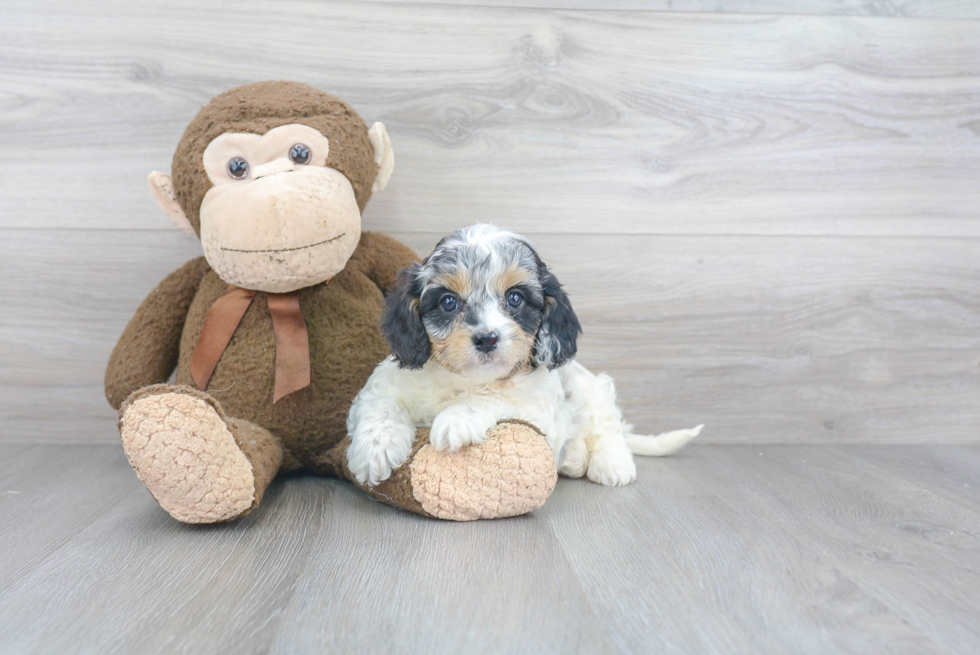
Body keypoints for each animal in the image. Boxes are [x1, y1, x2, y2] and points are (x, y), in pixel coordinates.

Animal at [348, 226, 700, 486]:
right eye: (448, 302)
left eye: (515, 298)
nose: (486, 338)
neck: (466, 381)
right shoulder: (385, 381)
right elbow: (382, 404)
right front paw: (375, 449)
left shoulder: (537, 409)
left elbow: (497, 399)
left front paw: (457, 418)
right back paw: (574, 459)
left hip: (592, 389)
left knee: (608, 428)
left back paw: (612, 464)